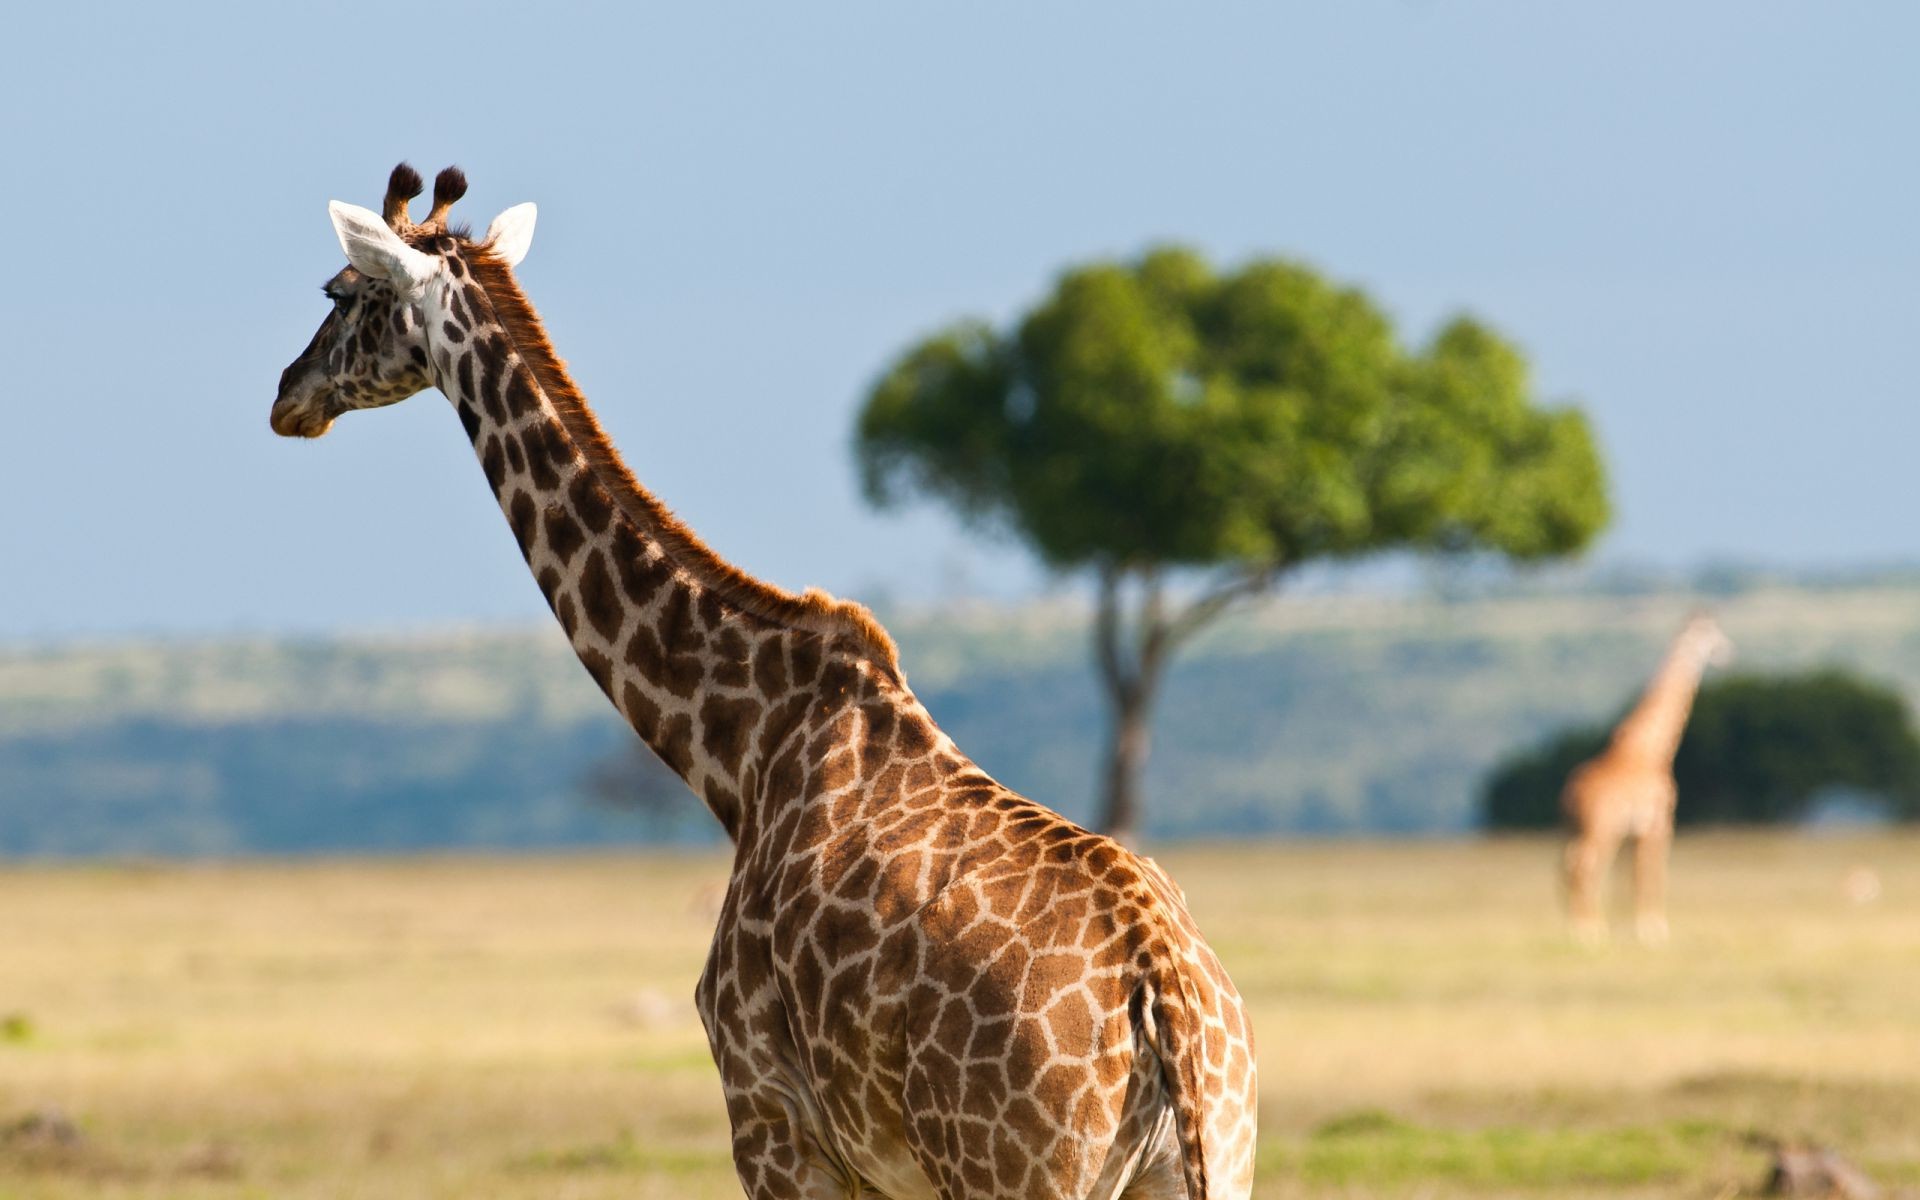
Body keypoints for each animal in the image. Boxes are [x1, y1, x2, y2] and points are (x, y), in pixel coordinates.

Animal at [274, 161, 1259, 1198]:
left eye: (339, 292)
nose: (287, 396)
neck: (735, 754)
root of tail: (1169, 1003)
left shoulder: (771, 1120)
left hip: (1017, 1171)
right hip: (1206, 1160)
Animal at [1559, 618, 1743, 944]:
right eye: (1711, 637)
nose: (1729, 653)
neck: (1651, 749)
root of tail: (1570, 793)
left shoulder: (1634, 830)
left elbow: (1628, 876)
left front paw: (1629, 927)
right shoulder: (1660, 821)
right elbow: (1652, 871)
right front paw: (1654, 929)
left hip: (1571, 828)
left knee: (1567, 866)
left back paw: (1574, 926)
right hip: (1601, 827)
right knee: (1585, 865)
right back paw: (1588, 931)